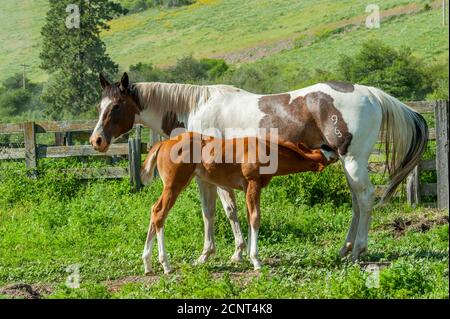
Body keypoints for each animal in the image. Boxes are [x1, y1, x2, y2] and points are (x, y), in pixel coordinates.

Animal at [139, 131, 336, 274]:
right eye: (328, 155)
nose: (336, 151)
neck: (266, 150)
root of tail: (162, 144)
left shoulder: (249, 187)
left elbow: (249, 216)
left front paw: (246, 255)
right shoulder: (253, 183)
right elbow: (255, 217)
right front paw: (256, 260)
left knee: (153, 210)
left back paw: (147, 264)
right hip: (174, 185)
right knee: (159, 213)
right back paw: (165, 265)